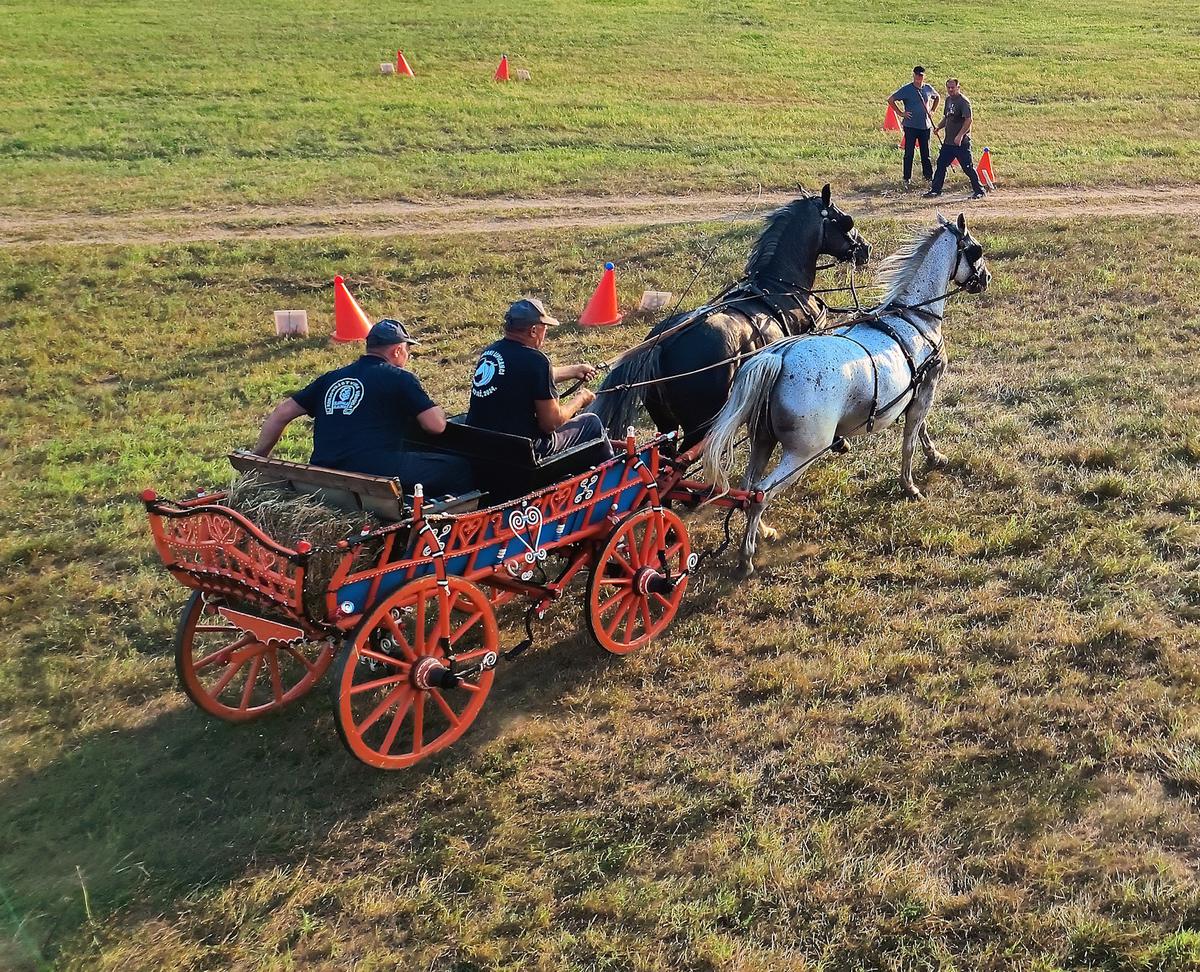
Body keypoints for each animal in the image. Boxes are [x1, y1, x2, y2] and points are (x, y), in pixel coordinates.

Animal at [592, 183, 868, 448]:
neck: (781, 287)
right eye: (845, 220)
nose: (865, 248)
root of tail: (660, 347)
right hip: (699, 426)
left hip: (665, 424)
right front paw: (838, 439)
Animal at [700, 213, 988, 576]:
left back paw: (763, 531)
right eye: (975, 250)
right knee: (763, 492)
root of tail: (778, 358)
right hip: (804, 451)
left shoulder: (917, 389)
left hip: (762, 440)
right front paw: (910, 485)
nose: (986, 278)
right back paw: (747, 557)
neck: (914, 317)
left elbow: (920, 429)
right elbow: (910, 438)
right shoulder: (927, 388)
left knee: (750, 488)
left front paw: (935, 456)